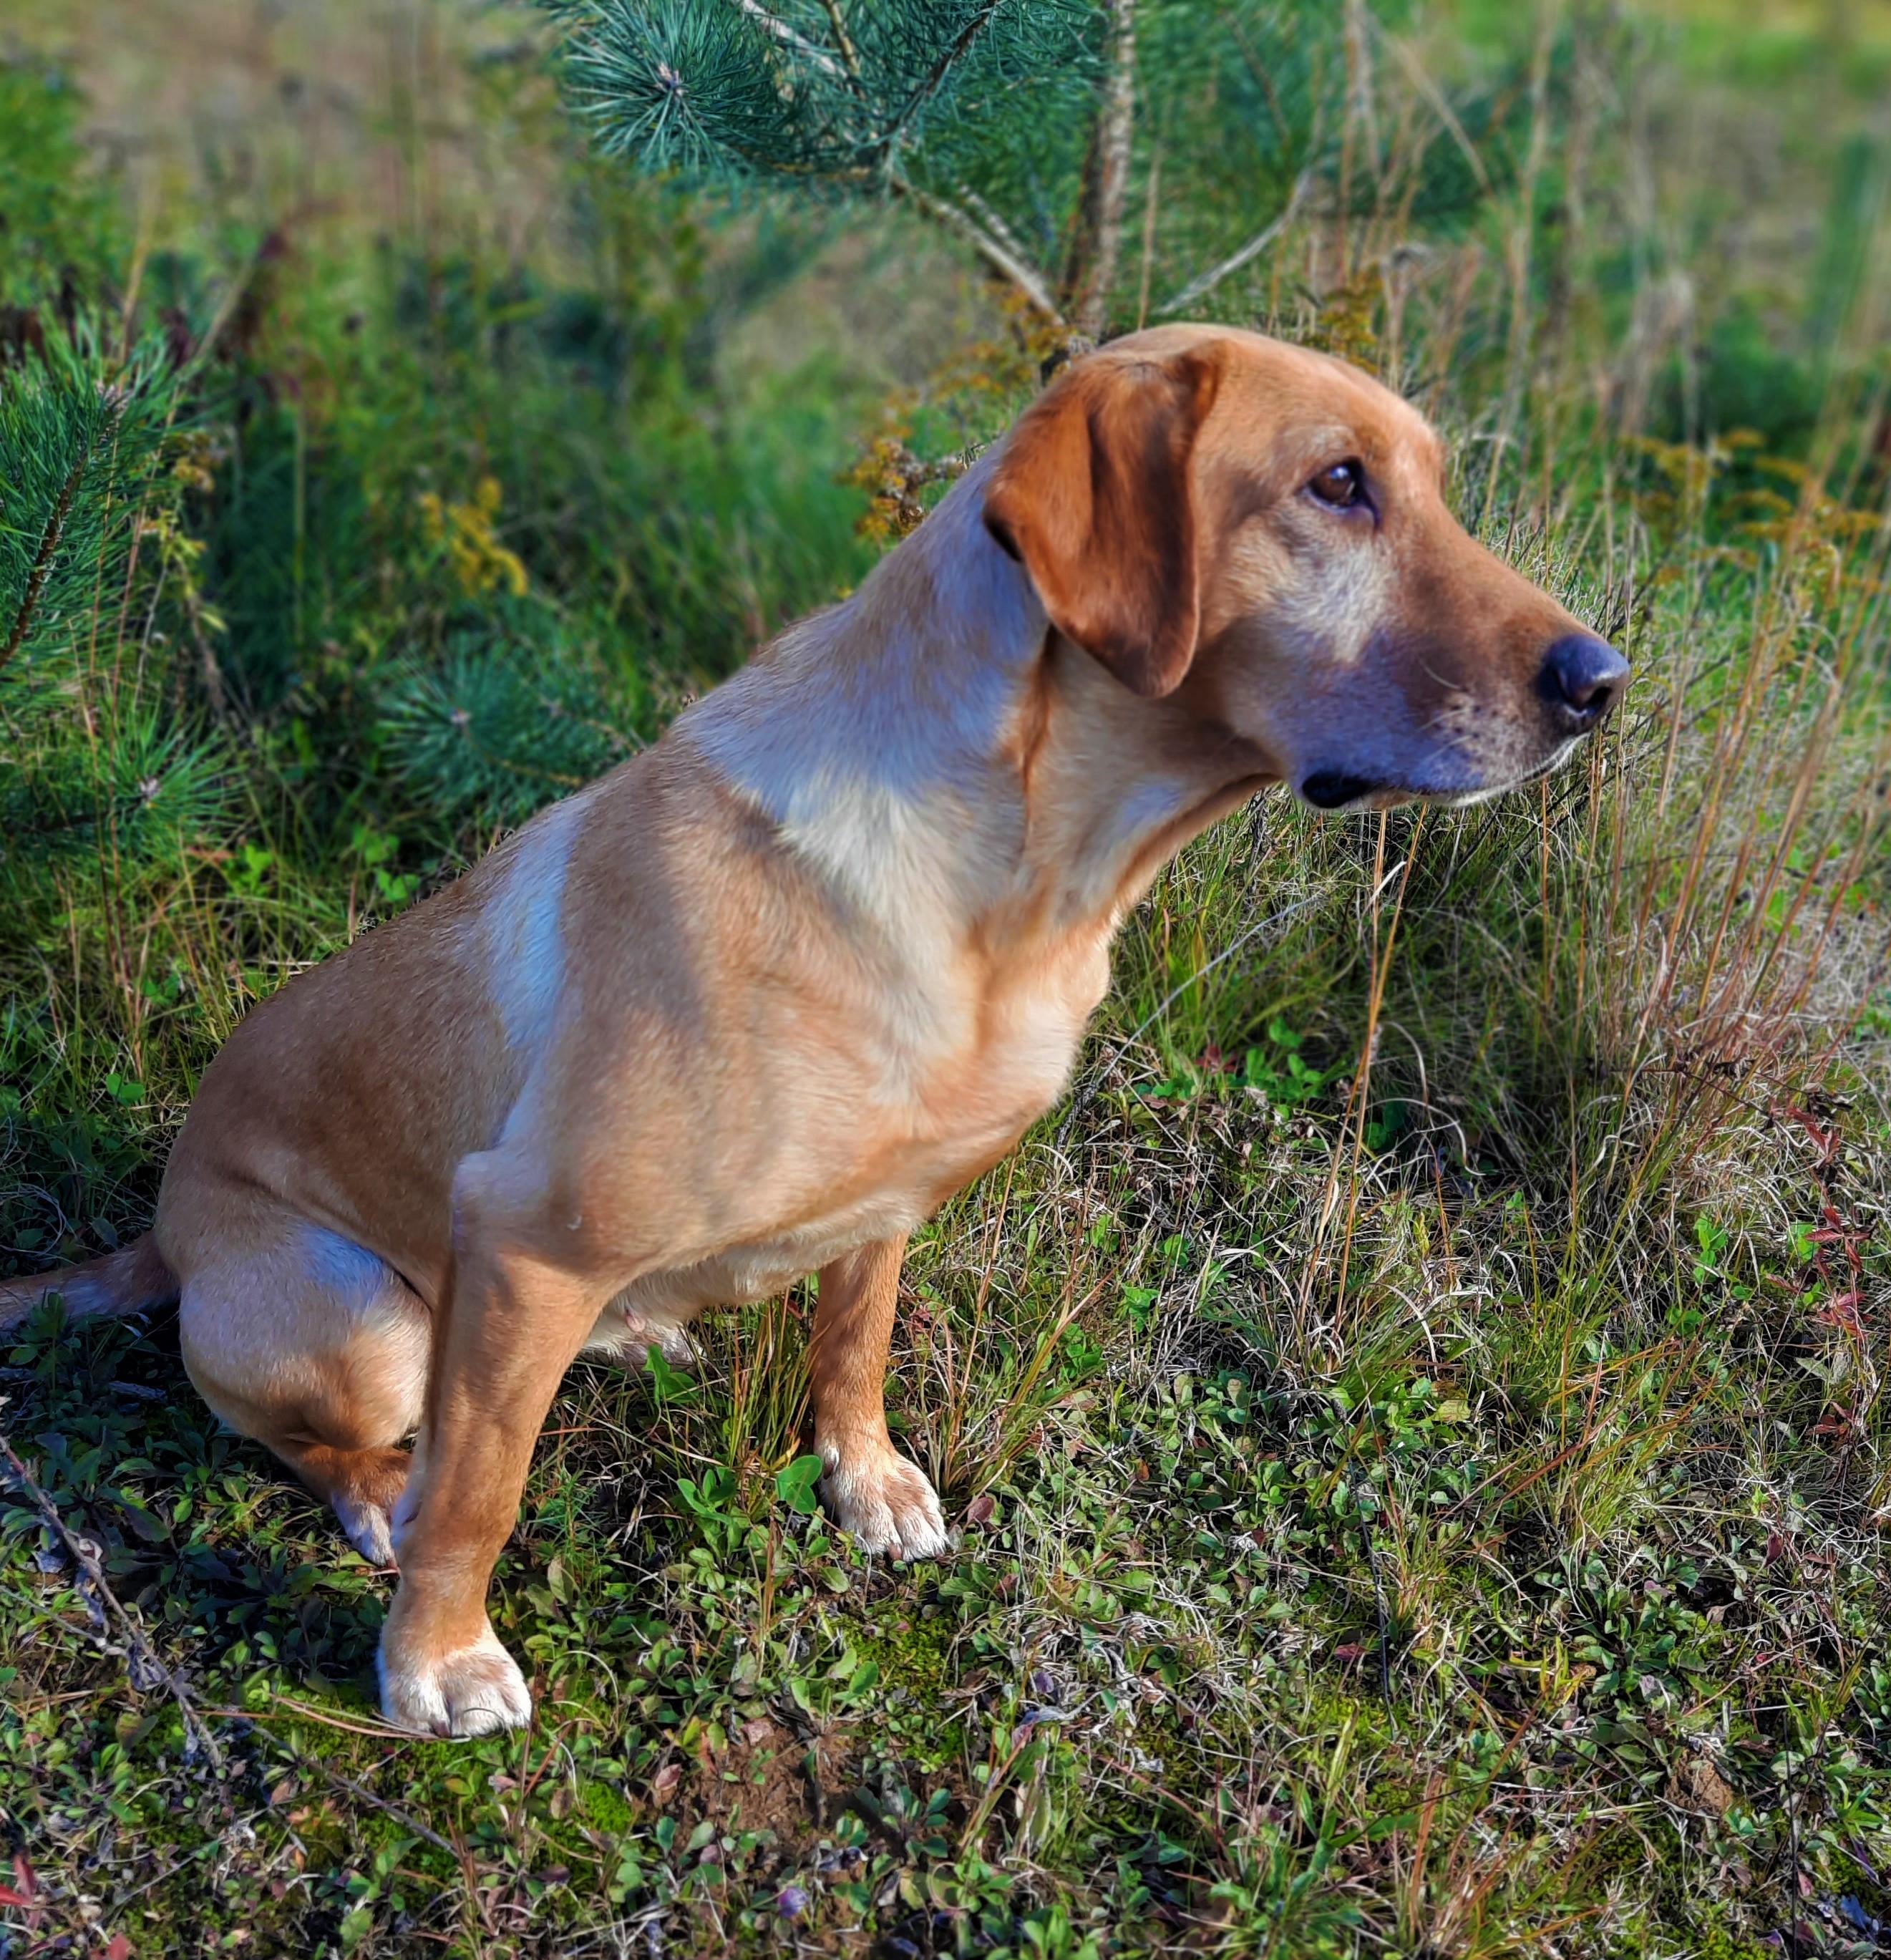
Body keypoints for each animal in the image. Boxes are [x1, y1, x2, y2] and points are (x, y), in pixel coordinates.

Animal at [0, 329, 1622, 1740]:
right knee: (339, 1439)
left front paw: (865, 1478)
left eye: (1432, 484)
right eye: (1336, 484)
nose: (1599, 685)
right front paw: (435, 1659)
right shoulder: (521, 1239)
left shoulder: (887, 1201)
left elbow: (856, 1338)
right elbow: (483, 1493)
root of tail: (162, 1227)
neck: (1020, 889)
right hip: (365, 1317)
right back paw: (378, 1498)